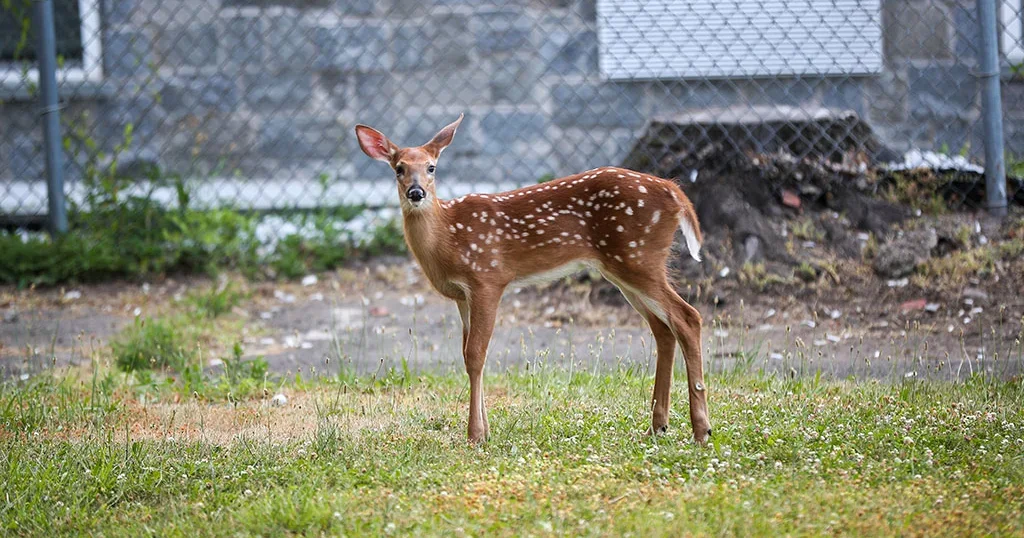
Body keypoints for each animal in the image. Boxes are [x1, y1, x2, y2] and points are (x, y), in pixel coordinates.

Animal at [355, 114, 711, 445]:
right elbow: (468, 353)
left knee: (688, 317)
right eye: (399, 168)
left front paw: (475, 435)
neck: (449, 237)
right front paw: (485, 430)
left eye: (431, 167)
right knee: (663, 329)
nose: (416, 193)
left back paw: (701, 430)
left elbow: (476, 354)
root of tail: (674, 191)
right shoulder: (462, 296)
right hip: (625, 268)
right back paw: (658, 426)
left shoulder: (488, 278)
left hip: (639, 258)